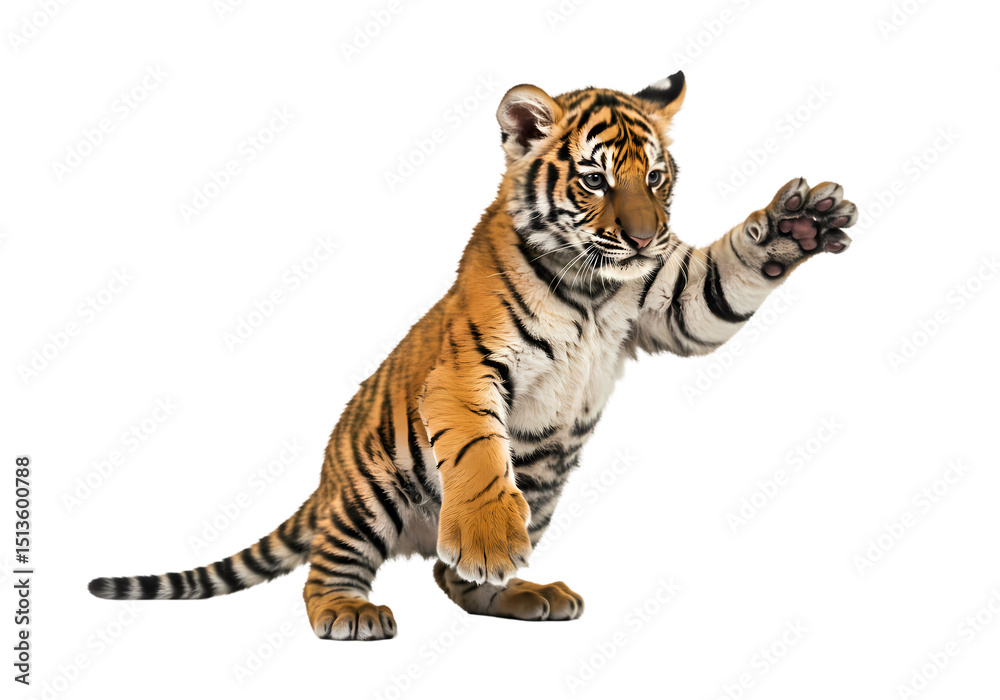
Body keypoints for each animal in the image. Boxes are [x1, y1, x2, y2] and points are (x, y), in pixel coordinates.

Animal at [89, 71, 857, 640]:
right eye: (597, 180)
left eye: (657, 179)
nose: (645, 238)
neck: (594, 287)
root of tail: (327, 480)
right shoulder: (468, 370)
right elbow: (479, 454)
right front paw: (488, 537)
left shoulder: (672, 302)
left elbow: (723, 279)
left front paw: (799, 222)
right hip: (368, 491)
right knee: (326, 569)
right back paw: (351, 610)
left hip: (541, 491)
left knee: (448, 578)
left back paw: (521, 593)